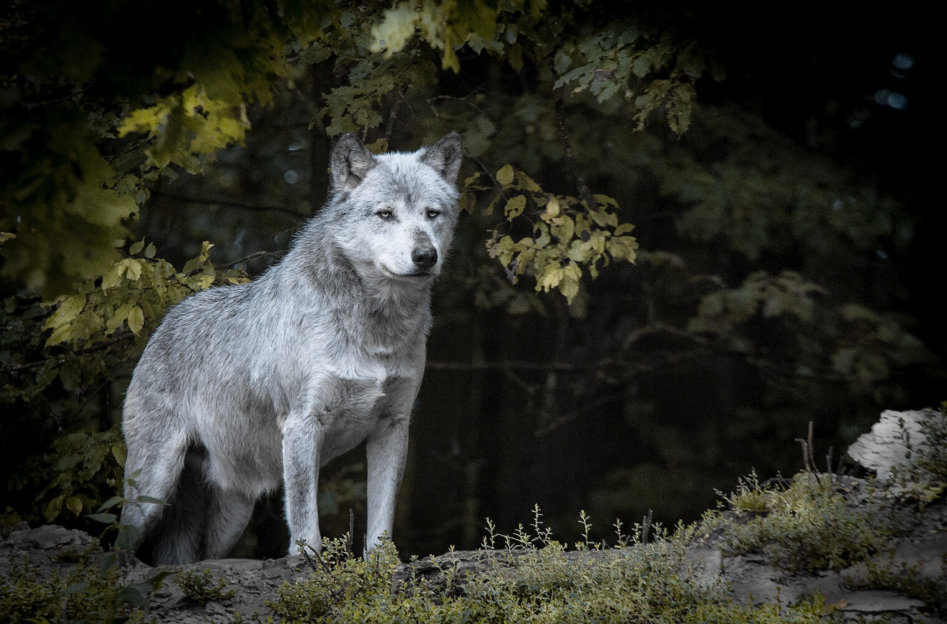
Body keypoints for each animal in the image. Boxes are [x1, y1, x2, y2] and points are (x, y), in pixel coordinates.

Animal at [120, 132, 463, 565]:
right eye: (385, 214)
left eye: (432, 214)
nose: (425, 255)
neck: (375, 329)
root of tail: (163, 323)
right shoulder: (302, 423)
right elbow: (303, 514)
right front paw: (307, 564)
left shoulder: (393, 425)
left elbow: (381, 519)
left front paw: (383, 565)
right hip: (152, 491)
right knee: (116, 544)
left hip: (231, 517)